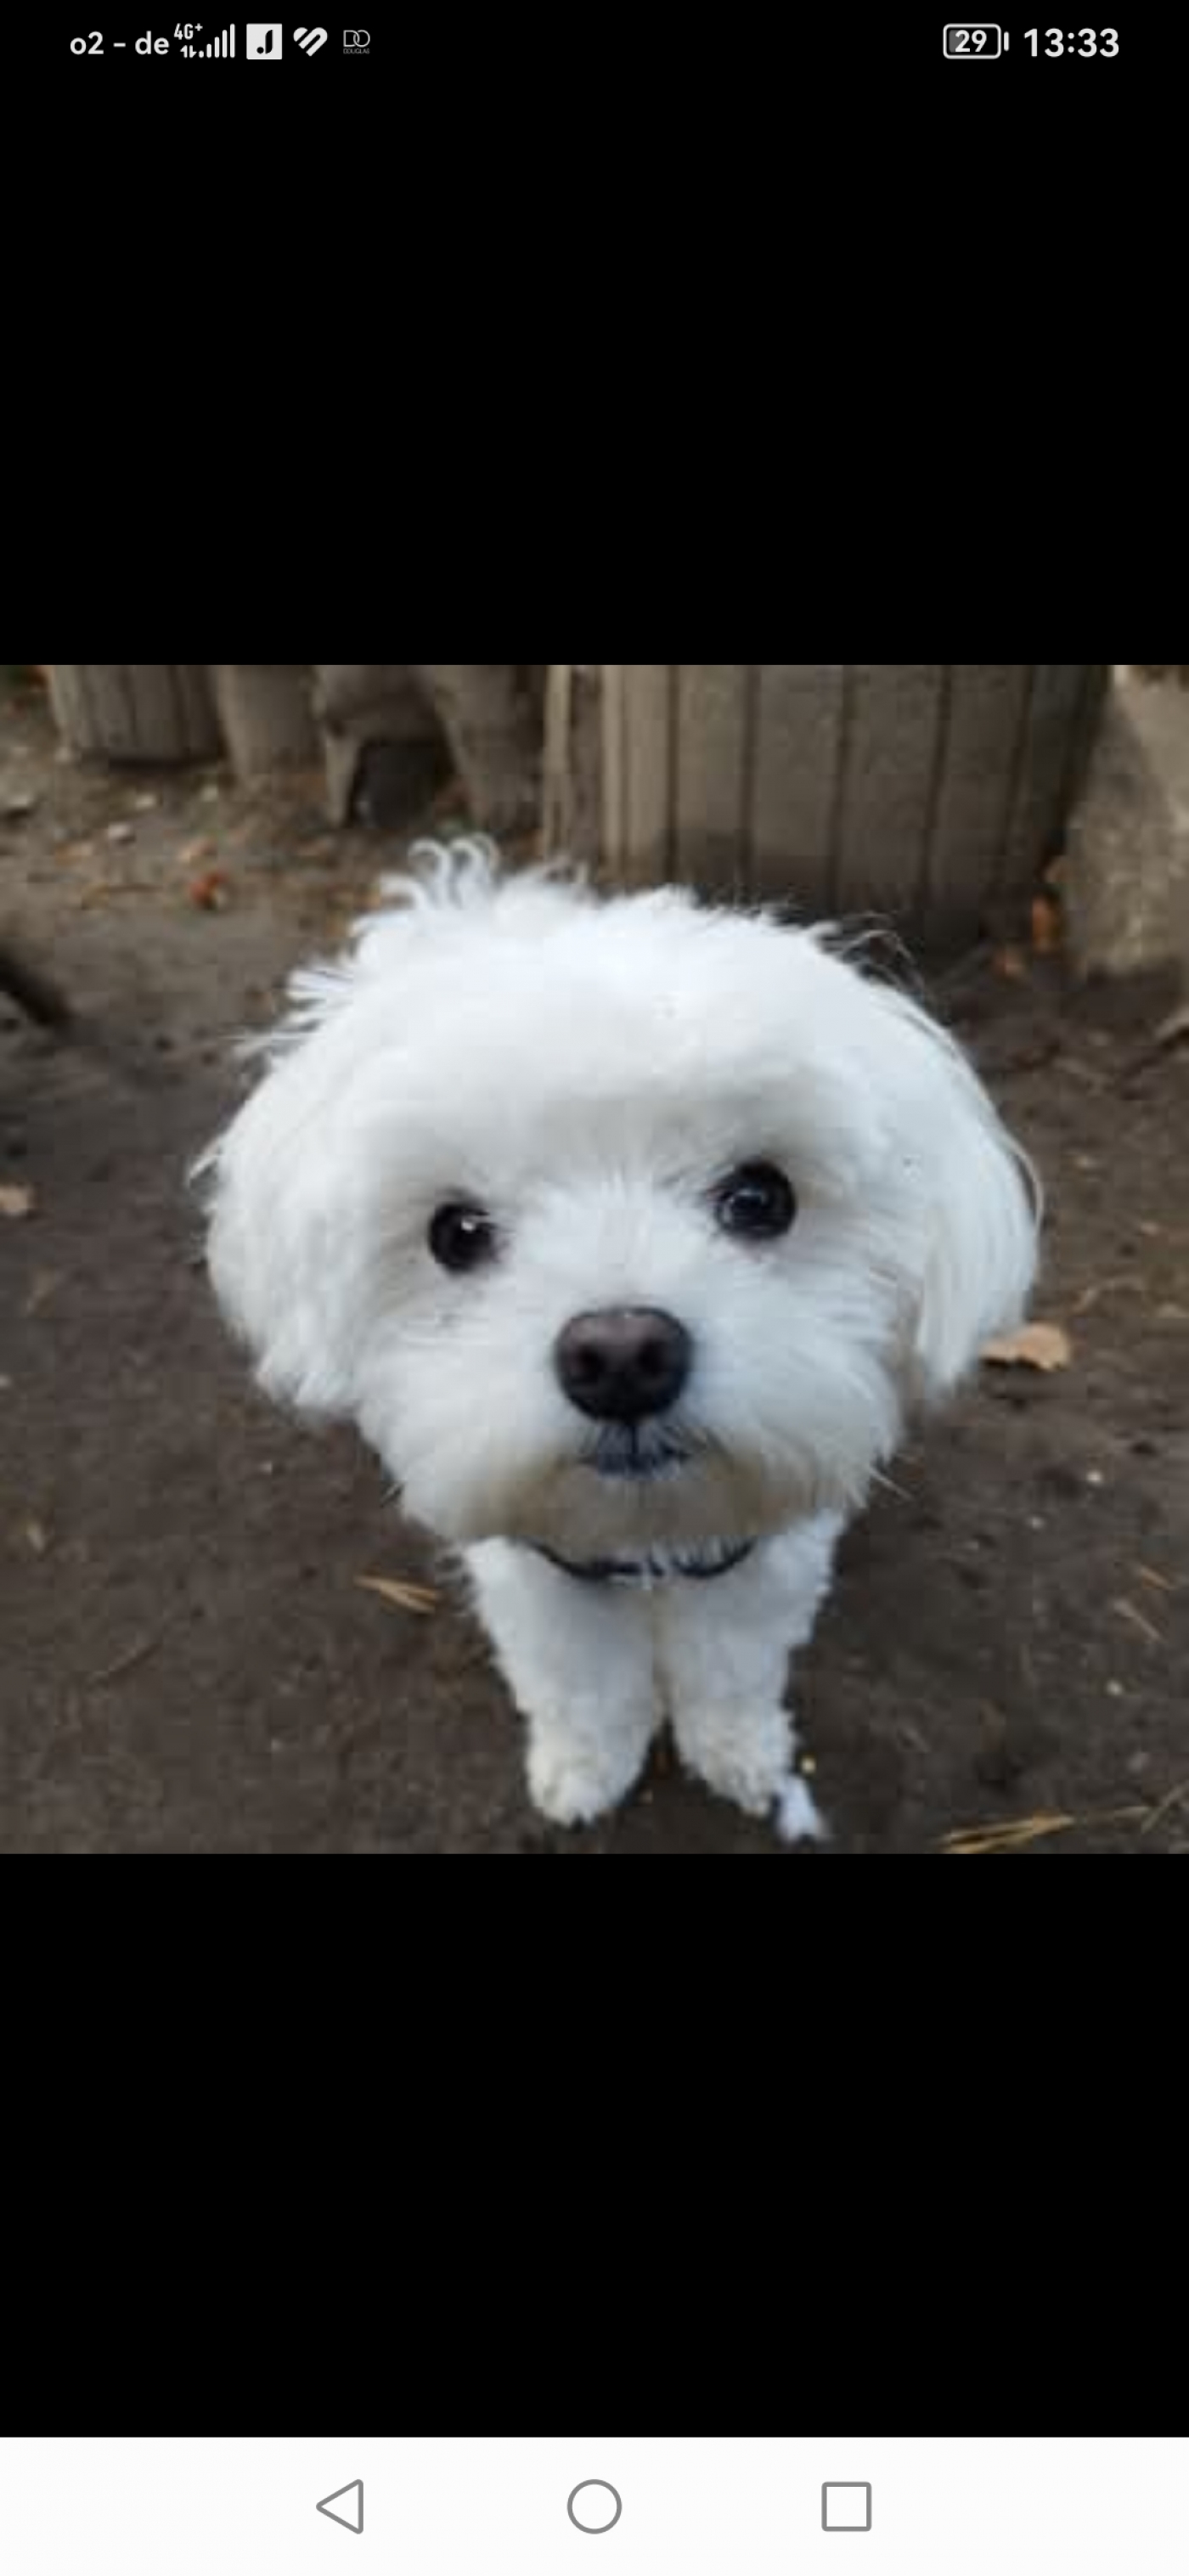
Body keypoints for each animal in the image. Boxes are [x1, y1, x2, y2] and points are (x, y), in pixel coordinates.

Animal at [202, 840, 1038, 1842]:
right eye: (456, 1234)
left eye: (762, 1197)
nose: (621, 1357)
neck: (648, 1529)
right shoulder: (540, 1574)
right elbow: (580, 1686)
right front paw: (585, 1768)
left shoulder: (758, 1562)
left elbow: (730, 1669)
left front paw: (738, 1753)